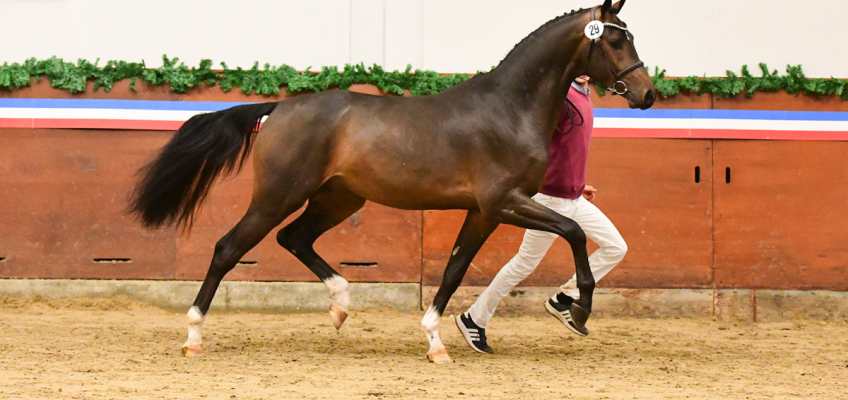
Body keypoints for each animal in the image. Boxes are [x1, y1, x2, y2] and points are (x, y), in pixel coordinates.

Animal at [129, 0, 656, 362]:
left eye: (630, 37)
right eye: (614, 41)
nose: (648, 94)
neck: (509, 107)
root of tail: (278, 107)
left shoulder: (483, 212)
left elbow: (454, 270)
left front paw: (436, 342)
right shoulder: (505, 202)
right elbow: (573, 231)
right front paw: (577, 309)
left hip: (339, 199)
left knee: (293, 237)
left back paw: (341, 305)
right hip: (278, 195)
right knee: (228, 248)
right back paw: (194, 336)